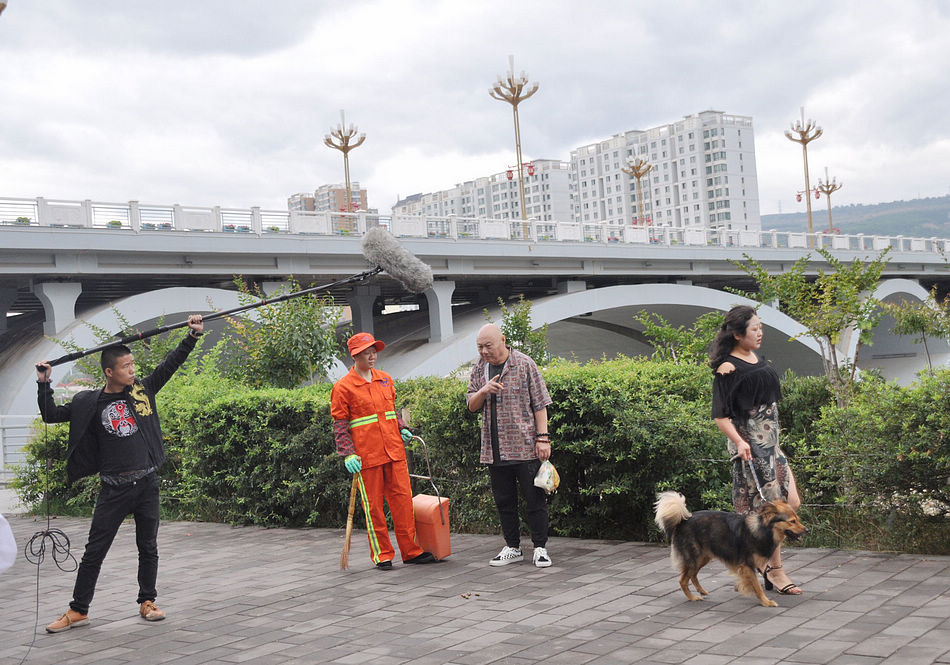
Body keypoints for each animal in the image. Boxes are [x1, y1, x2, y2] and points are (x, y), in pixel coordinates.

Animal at [656, 490, 812, 604]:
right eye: (792, 521)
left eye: (797, 519)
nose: (807, 530)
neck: (763, 529)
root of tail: (683, 520)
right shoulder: (747, 565)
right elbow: (757, 586)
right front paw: (766, 602)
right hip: (694, 557)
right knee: (683, 580)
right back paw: (692, 598)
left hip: (703, 557)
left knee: (692, 575)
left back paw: (701, 591)